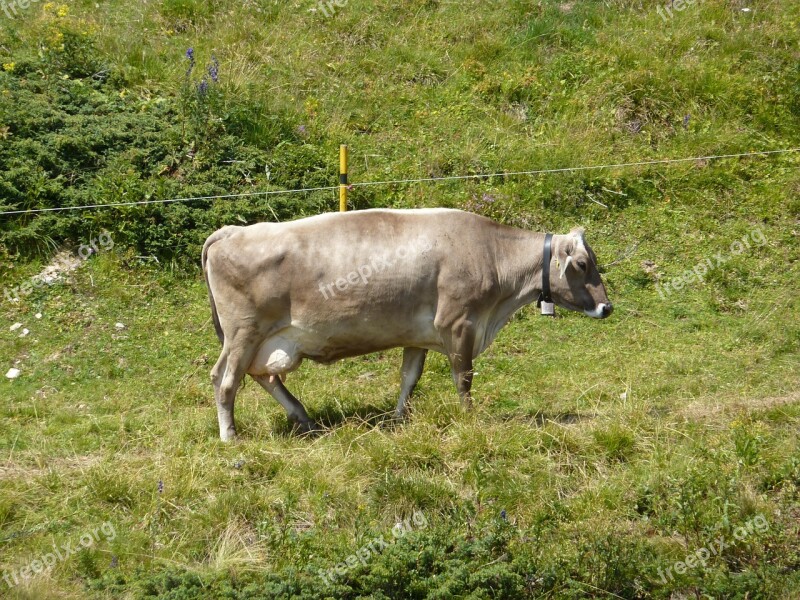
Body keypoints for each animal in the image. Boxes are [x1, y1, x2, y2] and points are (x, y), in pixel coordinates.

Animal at [200, 207, 612, 440]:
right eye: (581, 264)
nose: (606, 307)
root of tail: (232, 230)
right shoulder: (459, 323)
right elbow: (463, 378)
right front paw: (469, 419)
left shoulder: (418, 333)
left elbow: (409, 378)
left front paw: (398, 419)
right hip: (243, 333)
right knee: (226, 380)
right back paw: (230, 436)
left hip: (267, 340)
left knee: (263, 376)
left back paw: (305, 418)